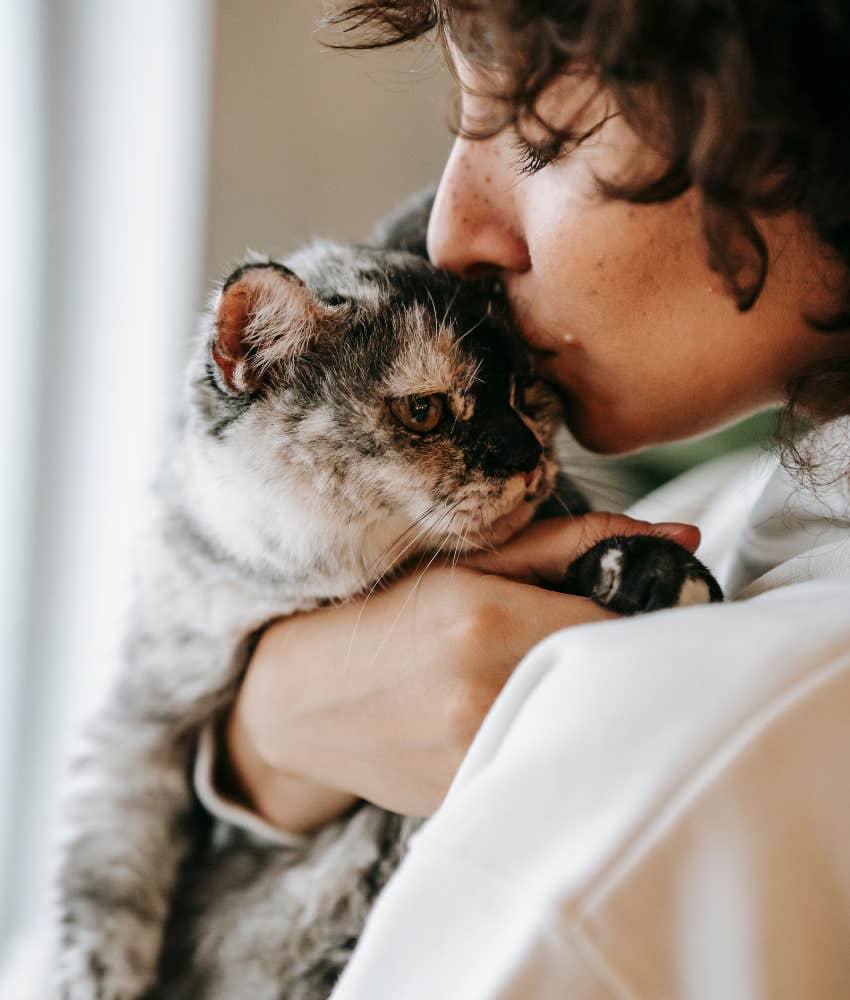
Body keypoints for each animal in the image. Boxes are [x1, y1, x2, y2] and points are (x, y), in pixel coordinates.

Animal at [51, 193, 716, 1000]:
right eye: (424, 412)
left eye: (526, 390)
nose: (524, 454)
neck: (311, 593)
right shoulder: (141, 725)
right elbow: (108, 889)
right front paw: (98, 980)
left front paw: (656, 572)